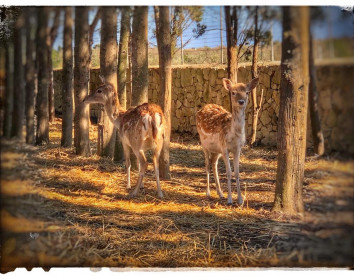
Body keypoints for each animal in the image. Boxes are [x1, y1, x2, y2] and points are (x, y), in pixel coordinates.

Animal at [195, 77, 258, 205]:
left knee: (213, 163)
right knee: (207, 164)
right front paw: (230, 200)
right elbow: (228, 172)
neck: (233, 135)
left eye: (247, 92)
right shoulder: (224, 147)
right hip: (204, 144)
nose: (241, 101)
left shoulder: (238, 148)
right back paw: (208, 193)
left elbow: (237, 172)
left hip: (216, 150)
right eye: (233, 92)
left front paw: (240, 200)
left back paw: (220, 193)